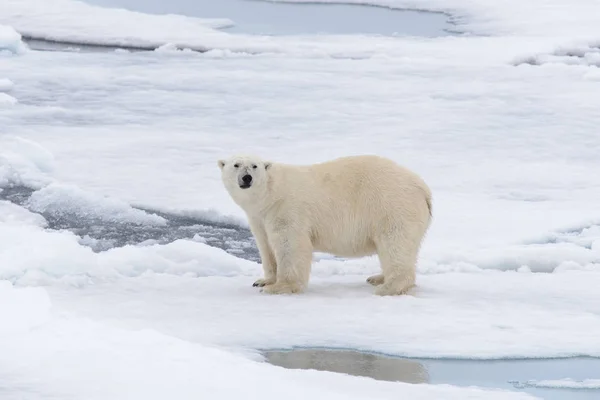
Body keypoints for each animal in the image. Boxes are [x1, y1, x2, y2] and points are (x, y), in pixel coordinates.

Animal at [218, 155, 434, 296]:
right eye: (236, 165)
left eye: (254, 166)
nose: (246, 178)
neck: (271, 194)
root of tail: (423, 188)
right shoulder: (259, 217)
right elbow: (265, 245)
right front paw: (262, 280)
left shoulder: (287, 209)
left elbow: (291, 245)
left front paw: (279, 287)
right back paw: (378, 278)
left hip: (392, 206)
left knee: (394, 244)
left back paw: (387, 287)